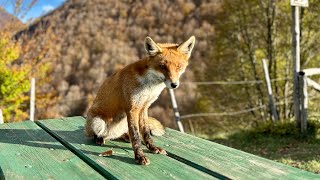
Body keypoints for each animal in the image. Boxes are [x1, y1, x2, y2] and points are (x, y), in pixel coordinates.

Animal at [85, 35, 195, 165]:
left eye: (179, 66)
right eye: (163, 66)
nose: (174, 85)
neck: (150, 87)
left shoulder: (144, 107)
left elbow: (145, 132)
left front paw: (152, 148)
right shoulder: (133, 108)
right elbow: (136, 136)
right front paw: (139, 156)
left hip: (122, 123)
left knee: (118, 135)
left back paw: (124, 136)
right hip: (98, 122)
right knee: (98, 134)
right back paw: (99, 139)